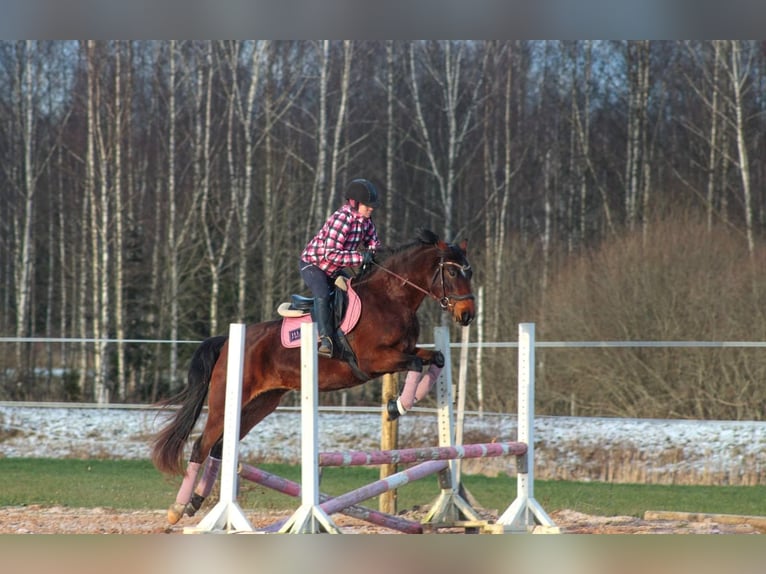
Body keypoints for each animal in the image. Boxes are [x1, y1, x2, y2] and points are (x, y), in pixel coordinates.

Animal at [151, 228, 476, 526]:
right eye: (452, 271)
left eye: (469, 272)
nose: (467, 315)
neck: (391, 299)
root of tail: (228, 342)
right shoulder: (376, 360)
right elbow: (417, 365)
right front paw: (397, 406)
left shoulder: (405, 352)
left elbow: (436, 359)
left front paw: (399, 405)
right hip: (225, 401)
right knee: (201, 445)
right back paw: (178, 509)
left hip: (260, 404)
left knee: (219, 447)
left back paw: (196, 501)